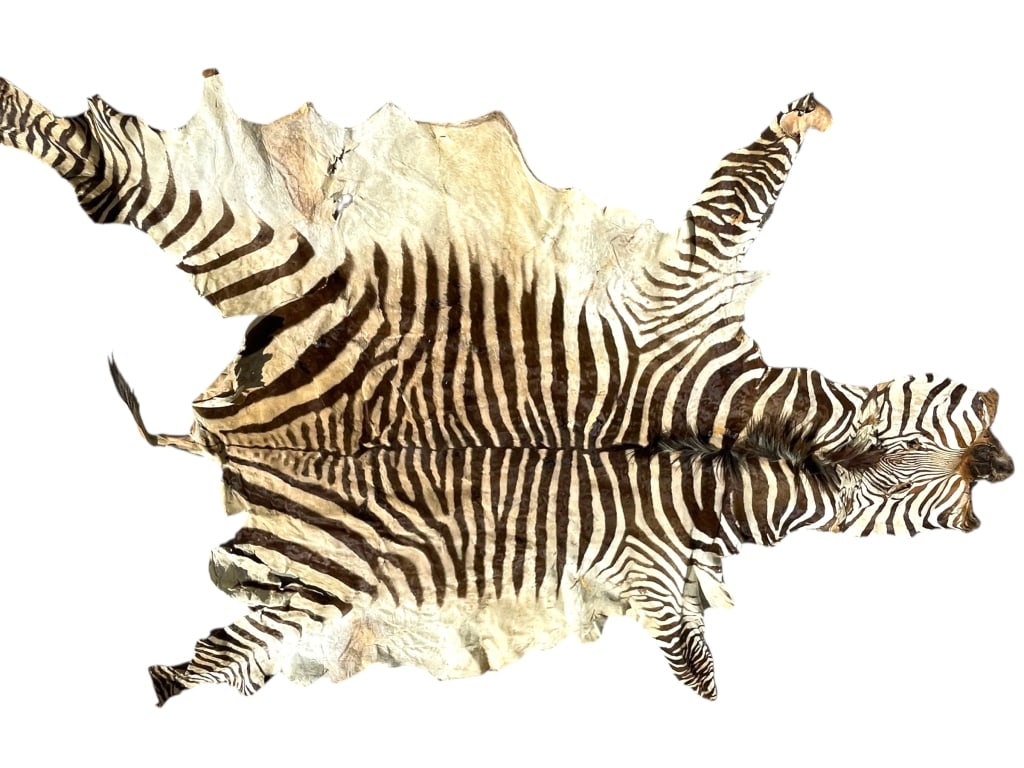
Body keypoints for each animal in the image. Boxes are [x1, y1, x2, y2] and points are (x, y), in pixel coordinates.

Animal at [1, 73, 1012, 703]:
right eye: (951, 397)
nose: (998, 465)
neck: (755, 446)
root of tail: (232, 432)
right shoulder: (687, 292)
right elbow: (746, 189)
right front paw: (806, 118)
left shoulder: (646, 566)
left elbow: (688, 653)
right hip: (293, 258)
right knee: (106, 170)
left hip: (324, 586)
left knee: (222, 658)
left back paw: (170, 674)